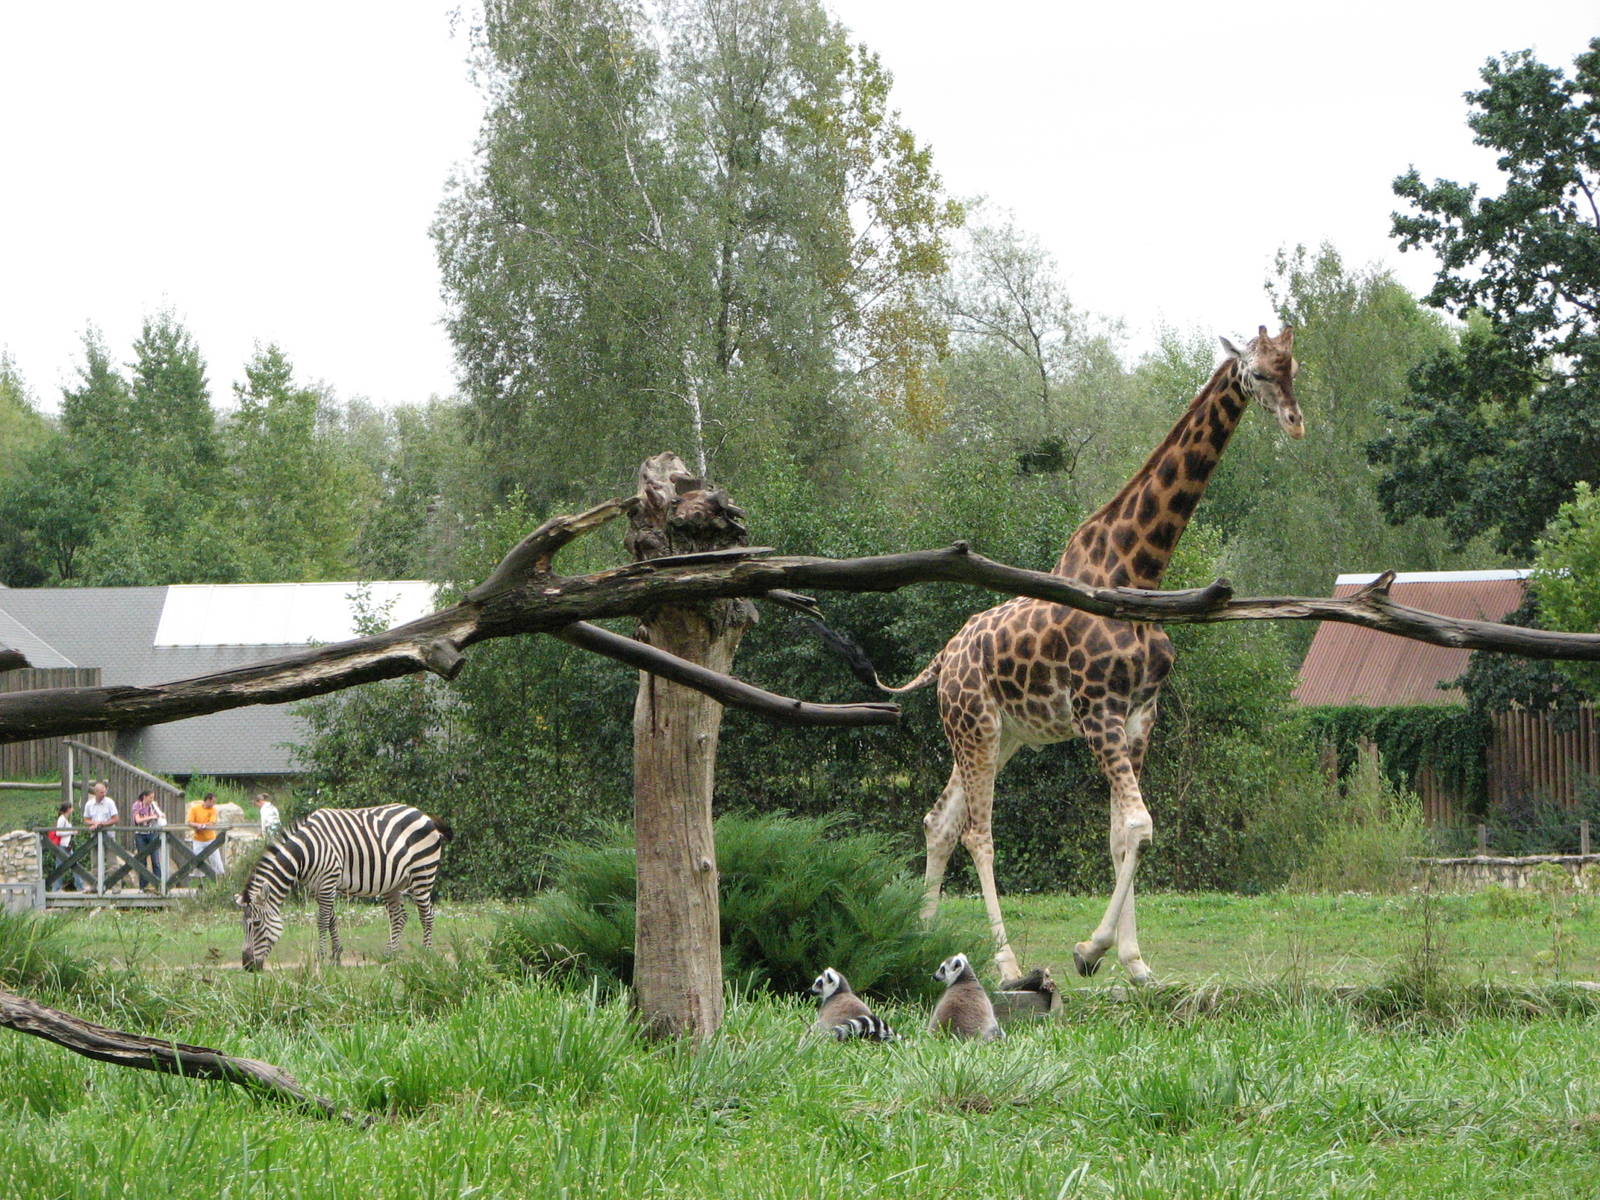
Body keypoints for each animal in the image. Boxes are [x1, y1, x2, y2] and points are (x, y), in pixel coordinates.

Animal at [869, 326, 1302, 985]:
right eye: (1255, 372)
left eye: (1293, 368)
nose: (1295, 422)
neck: (1138, 574)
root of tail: (944, 659)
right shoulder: (1098, 711)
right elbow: (1139, 824)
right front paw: (1090, 950)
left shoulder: (1140, 715)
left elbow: (1124, 834)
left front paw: (1136, 963)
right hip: (974, 727)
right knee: (976, 831)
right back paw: (1005, 962)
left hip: (1003, 735)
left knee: (939, 821)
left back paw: (921, 938)